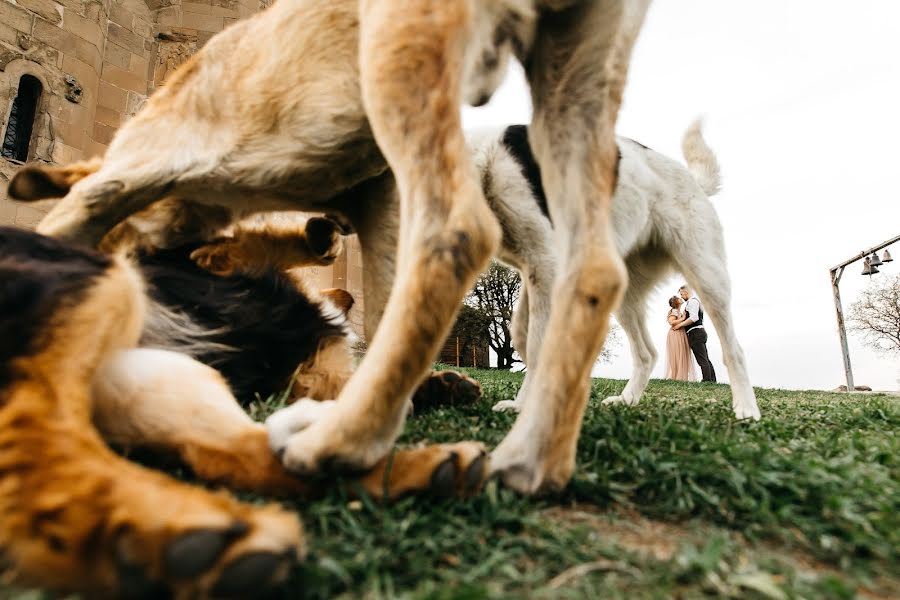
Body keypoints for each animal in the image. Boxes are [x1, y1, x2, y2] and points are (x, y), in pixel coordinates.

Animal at [10, 0, 652, 494]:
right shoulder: (373, 192)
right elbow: (381, 297)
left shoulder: (124, 176)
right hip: (576, 87)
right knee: (593, 270)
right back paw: (529, 459)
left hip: (404, 56)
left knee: (457, 229)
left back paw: (336, 442)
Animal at [472, 118, 760, 422]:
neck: (487, 161)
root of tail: (695, 182)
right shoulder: (537, 272)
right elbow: (522, 333)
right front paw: (523, 403)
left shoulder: (547, 265)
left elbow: (538, 346)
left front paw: (528, 408)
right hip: (624, 295)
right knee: (647, 353)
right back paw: (627, 400)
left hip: (707, 277)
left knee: (734, 350)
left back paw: (746, 408)